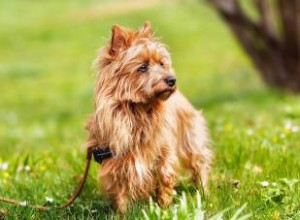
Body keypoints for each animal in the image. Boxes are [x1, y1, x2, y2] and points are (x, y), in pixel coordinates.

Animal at [85, 22, 213, 213]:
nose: (172, 80)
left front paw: (164, 209)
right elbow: (121, 193)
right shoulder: (117, 163)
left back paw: (205, 193)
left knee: (199, 164)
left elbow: (165, 181)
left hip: (191, 139)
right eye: (143, 67)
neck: (137, 110)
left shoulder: (163, 154)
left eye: (161, 63)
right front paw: (123, 214)